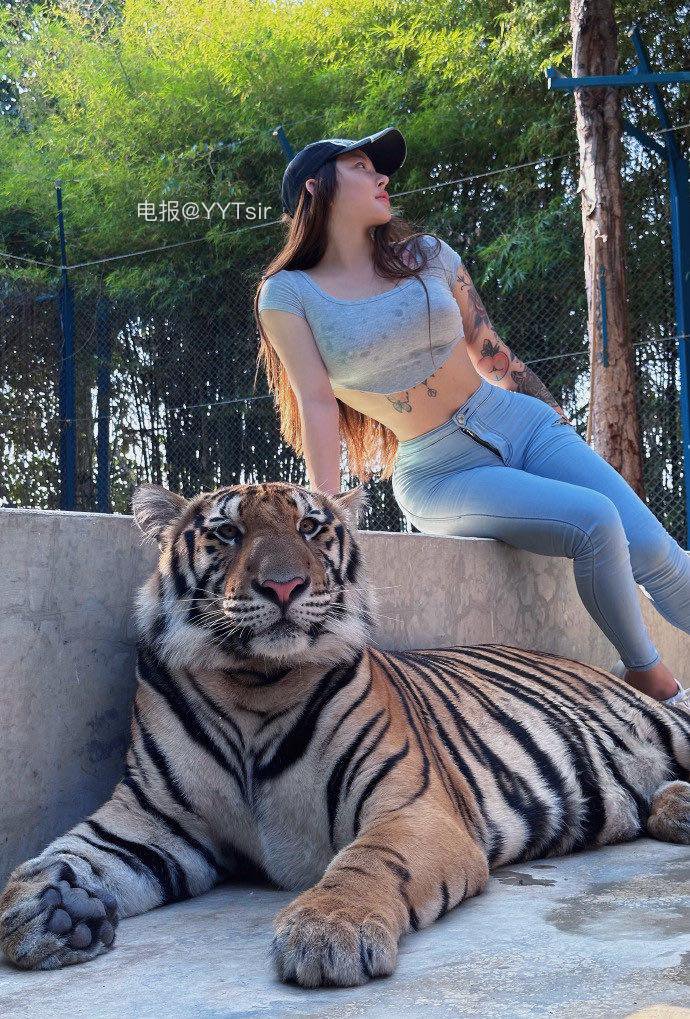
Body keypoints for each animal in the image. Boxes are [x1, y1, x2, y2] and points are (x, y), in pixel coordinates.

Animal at [1, 480, 689, 988]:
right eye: (228, 533)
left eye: (309, 528)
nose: (283, 585)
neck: (252, 683)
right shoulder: (153, 819)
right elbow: (71, 852)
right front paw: (42, 909)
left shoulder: (414, 807)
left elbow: (368, 859)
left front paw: (328, 929)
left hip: (669, 722)